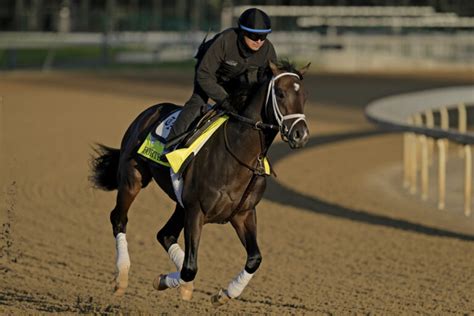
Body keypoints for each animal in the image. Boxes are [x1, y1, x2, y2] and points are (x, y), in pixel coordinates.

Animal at [90, 59, 312, 306]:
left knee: (164, 234)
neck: (237, 155)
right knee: (119, 219)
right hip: (133, 178)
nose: (300, 134)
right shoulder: (197, 210)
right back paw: (121, 278)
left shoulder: (242, 213)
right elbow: (190, 269)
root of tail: (147, 113)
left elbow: (254, 258)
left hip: (181, 204)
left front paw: (225, 293)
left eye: (304, 96)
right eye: (281, 93)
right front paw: (166, 281)